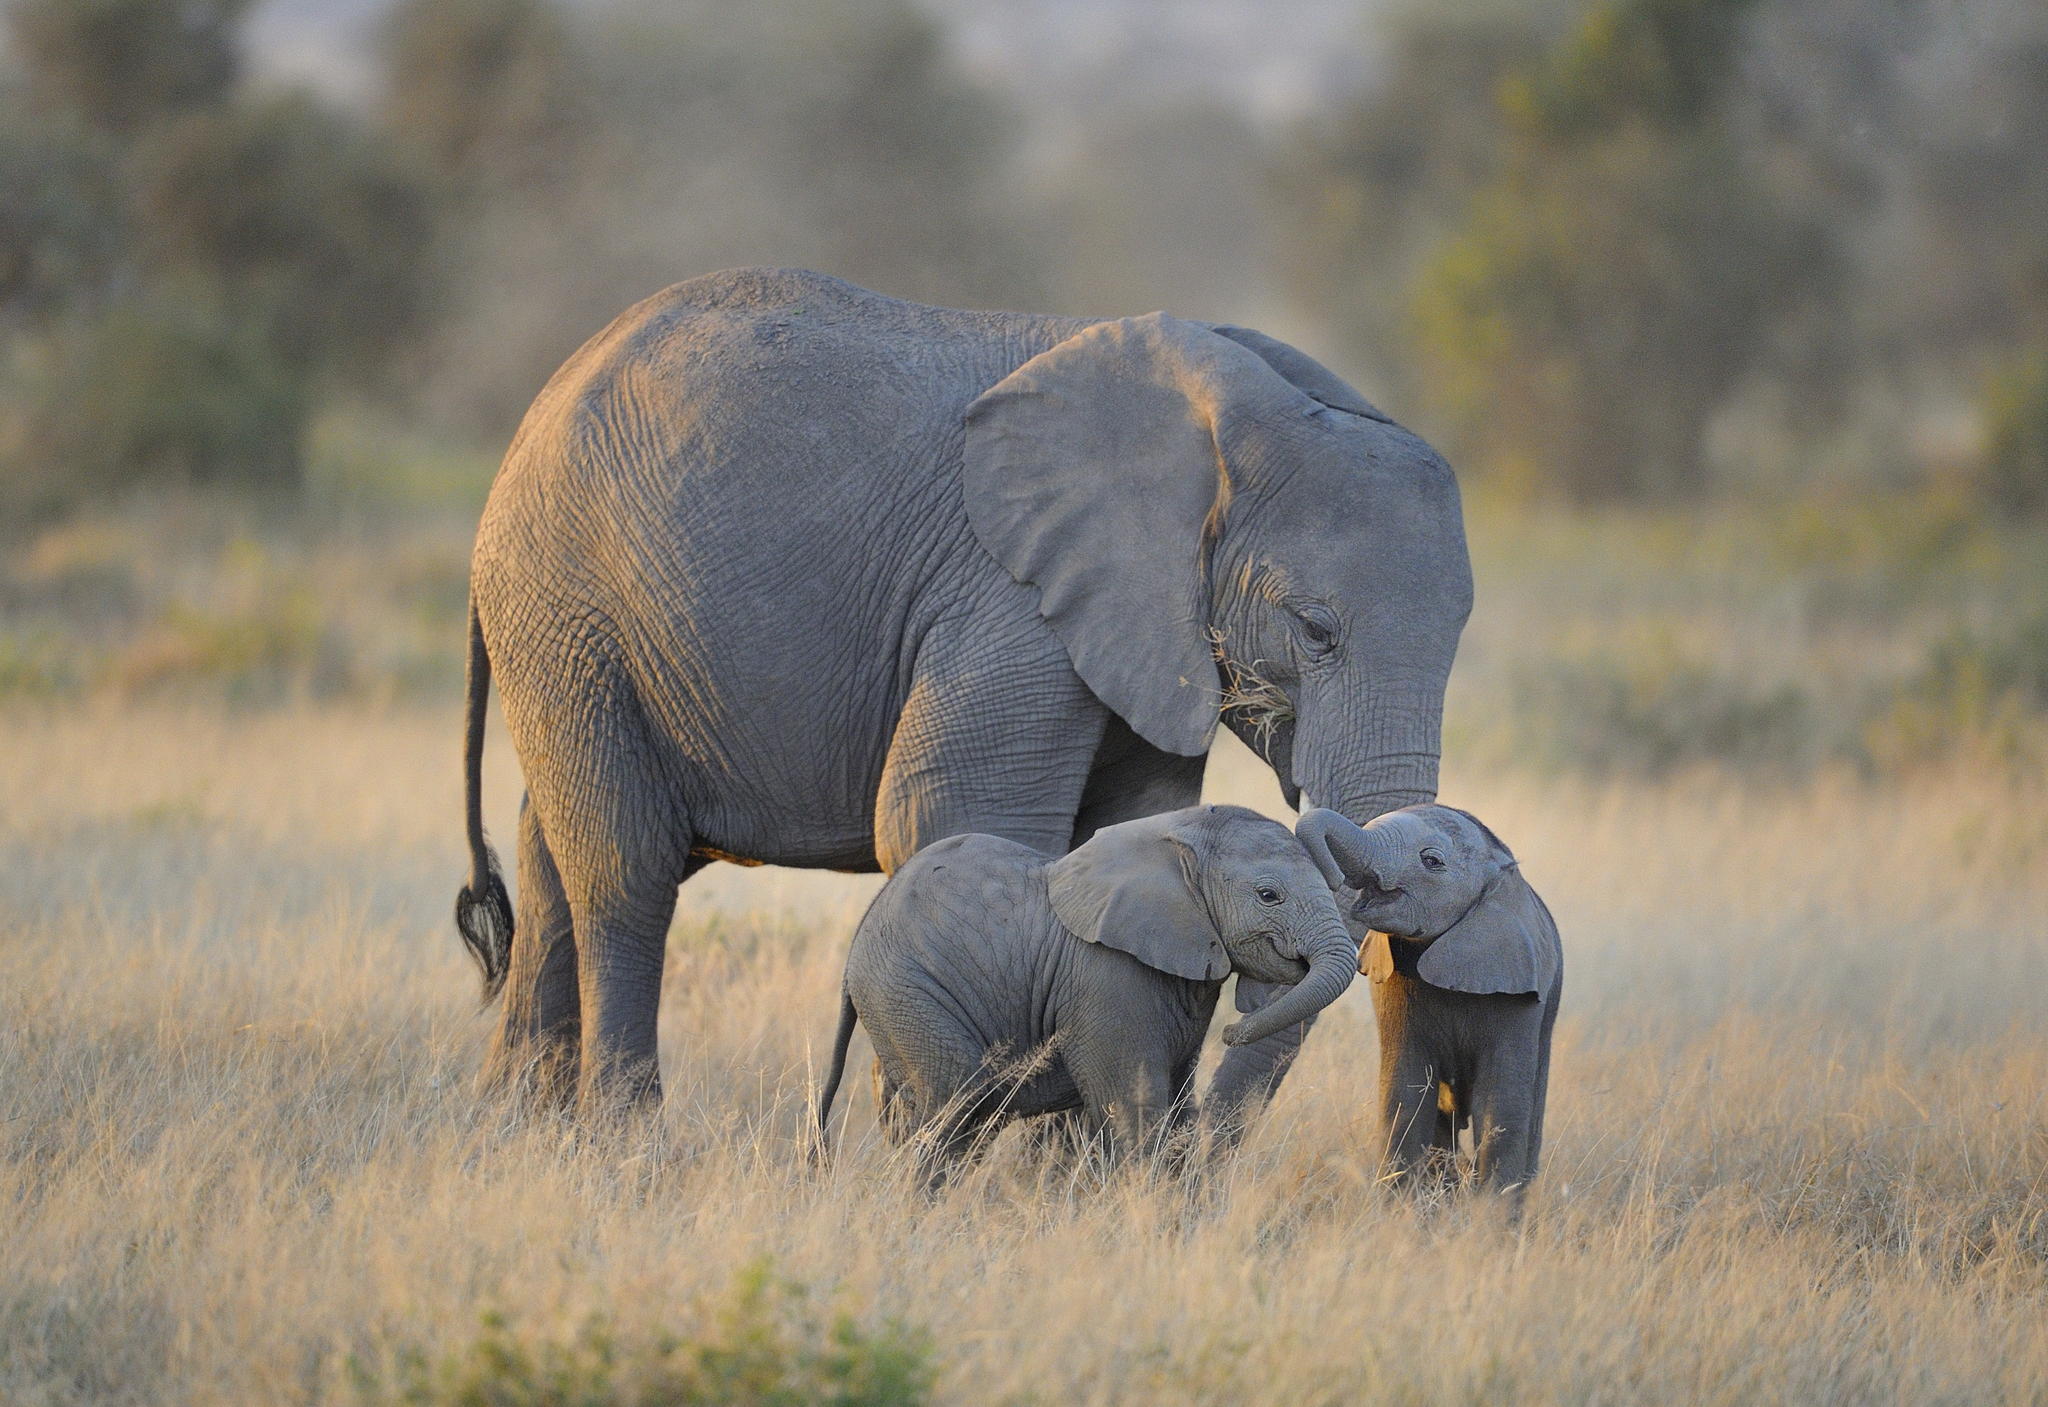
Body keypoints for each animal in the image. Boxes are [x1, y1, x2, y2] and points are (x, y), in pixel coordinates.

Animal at [460, 270, 1474, 1114]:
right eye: (1315, 629)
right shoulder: (1007, 596)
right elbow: (950, 815)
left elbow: (1127, 829)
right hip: (569, 607)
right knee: (624, 870)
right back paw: (624, 1143)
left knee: (551, 853)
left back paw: (517, 1132)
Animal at [815, 802, 1359, 1179]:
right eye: (1269, 896)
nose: (1231, 1032)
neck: (1178, 837)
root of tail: (859, 939)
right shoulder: (1108, 978)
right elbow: (1135, 1109)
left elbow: (1179, 1107)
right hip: (907, 992)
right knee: (956, 1105)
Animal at [1294, 802, 1564, 1196]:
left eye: (1431, 861)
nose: (1332, 878)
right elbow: (1405, 1093)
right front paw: (1400, 1208)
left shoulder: (1520, 992)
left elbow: (1501, 1106)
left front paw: (1490, 1214)